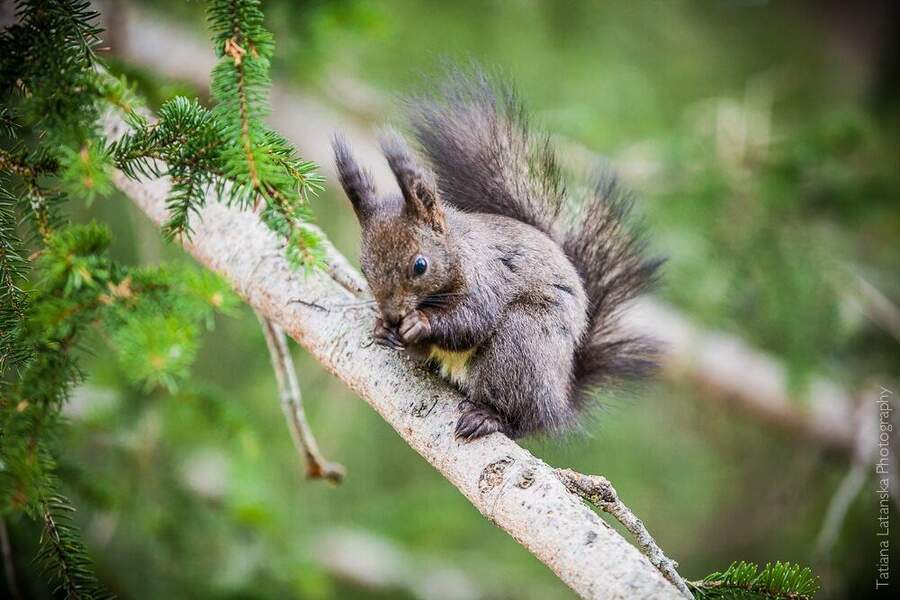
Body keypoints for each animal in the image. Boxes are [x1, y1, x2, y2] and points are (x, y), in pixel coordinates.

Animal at [332, 70, 661, 442]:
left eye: (420, 265)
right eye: (364, 267)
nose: (391, 315)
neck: (458, 251)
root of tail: (559, 399)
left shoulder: (487, 279)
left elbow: (473, 320)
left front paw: (421, 323)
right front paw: (381, 329)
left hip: (523, 341)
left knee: (520, 417)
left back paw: (488, 417)